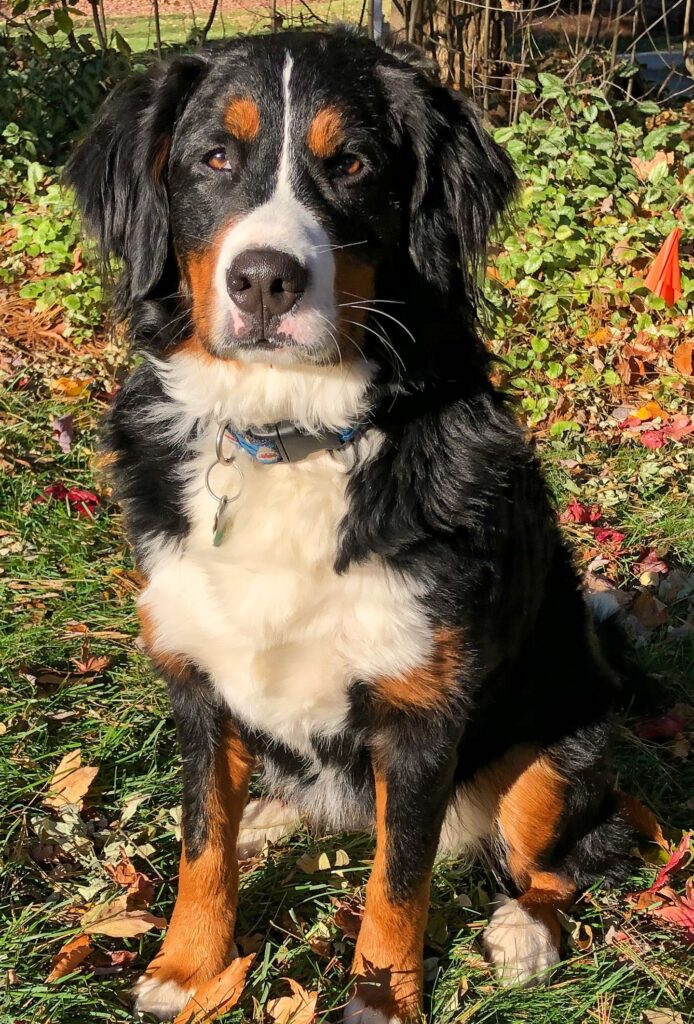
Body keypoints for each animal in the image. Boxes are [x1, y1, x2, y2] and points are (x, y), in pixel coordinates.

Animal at [68, 28, 651, 1024]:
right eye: (213, 158)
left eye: (353, 165)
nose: (266, 280)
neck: (290, 439)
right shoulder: (197, 678)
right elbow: (200, 837)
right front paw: (189, 965)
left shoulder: (420, 713)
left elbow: (398, 880)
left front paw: (380, 999)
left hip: (559, 748)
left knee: (573, 855)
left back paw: (525, 930)